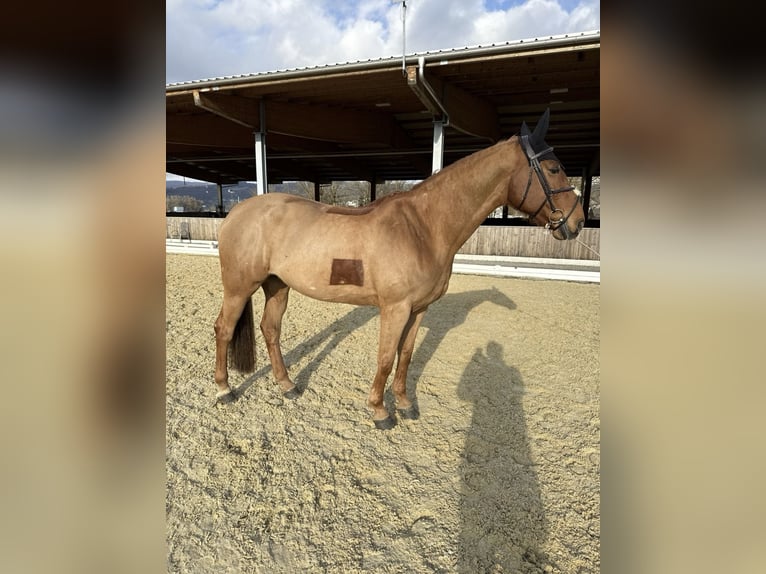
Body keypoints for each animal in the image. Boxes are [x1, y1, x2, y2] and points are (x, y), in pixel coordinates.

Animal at [213, 108, 585, 429]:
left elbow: (405, 356)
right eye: (553, 168)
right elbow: (385, 357)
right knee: (224, 329)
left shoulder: (418, 309)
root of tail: (236, 213)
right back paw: (224, 390)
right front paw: (380, 411)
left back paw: (287, 385)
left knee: (270, 329)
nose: (577, 222)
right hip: (238, 288)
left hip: (277, 285)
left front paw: (405, 405)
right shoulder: (395, 308)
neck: (423, 227)